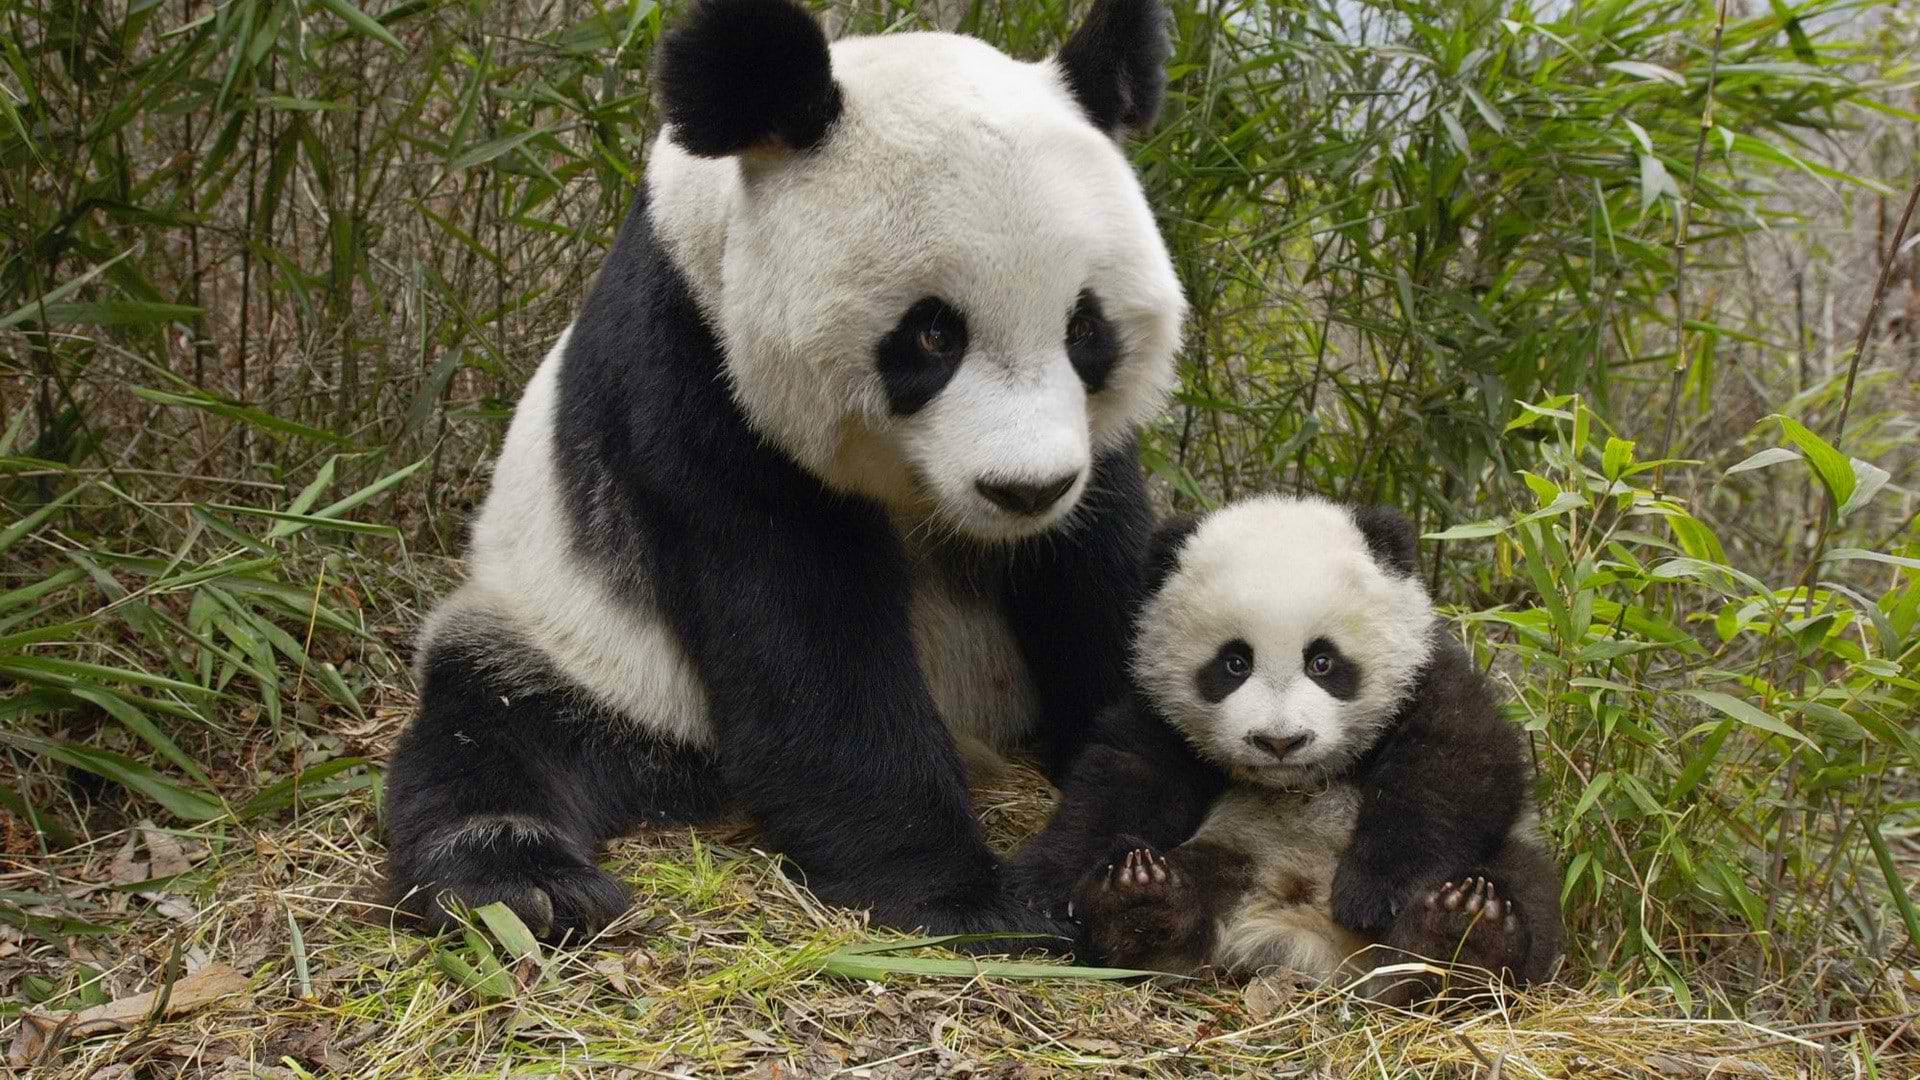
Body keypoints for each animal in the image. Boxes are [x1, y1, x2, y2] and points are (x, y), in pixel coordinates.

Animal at [380, 0, 1189, 942]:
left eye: (1085, 330)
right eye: (932, 334)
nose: (1024, 491)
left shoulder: (1092, 458)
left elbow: (1101, 581)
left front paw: (1121, 851)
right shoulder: (695, 372)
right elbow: (802, 633)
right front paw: (967, 896)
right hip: (577, 640)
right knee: (495, 726)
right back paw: (524, 885)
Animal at [1011, 495, 1562, 1001]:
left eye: (1323, 661)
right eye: (1234, 663)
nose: (1279, 741)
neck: (1298, 782)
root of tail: (1306, 937)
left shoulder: (1428, 675)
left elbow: (1457, 766)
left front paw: (1373, 892)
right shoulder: (1159, 711)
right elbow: (1122, 778)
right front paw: (1042, 886)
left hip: (1508, 860)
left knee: (1523, 885)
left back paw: (1463, 937)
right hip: (1234, 851)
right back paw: (1139, 901)